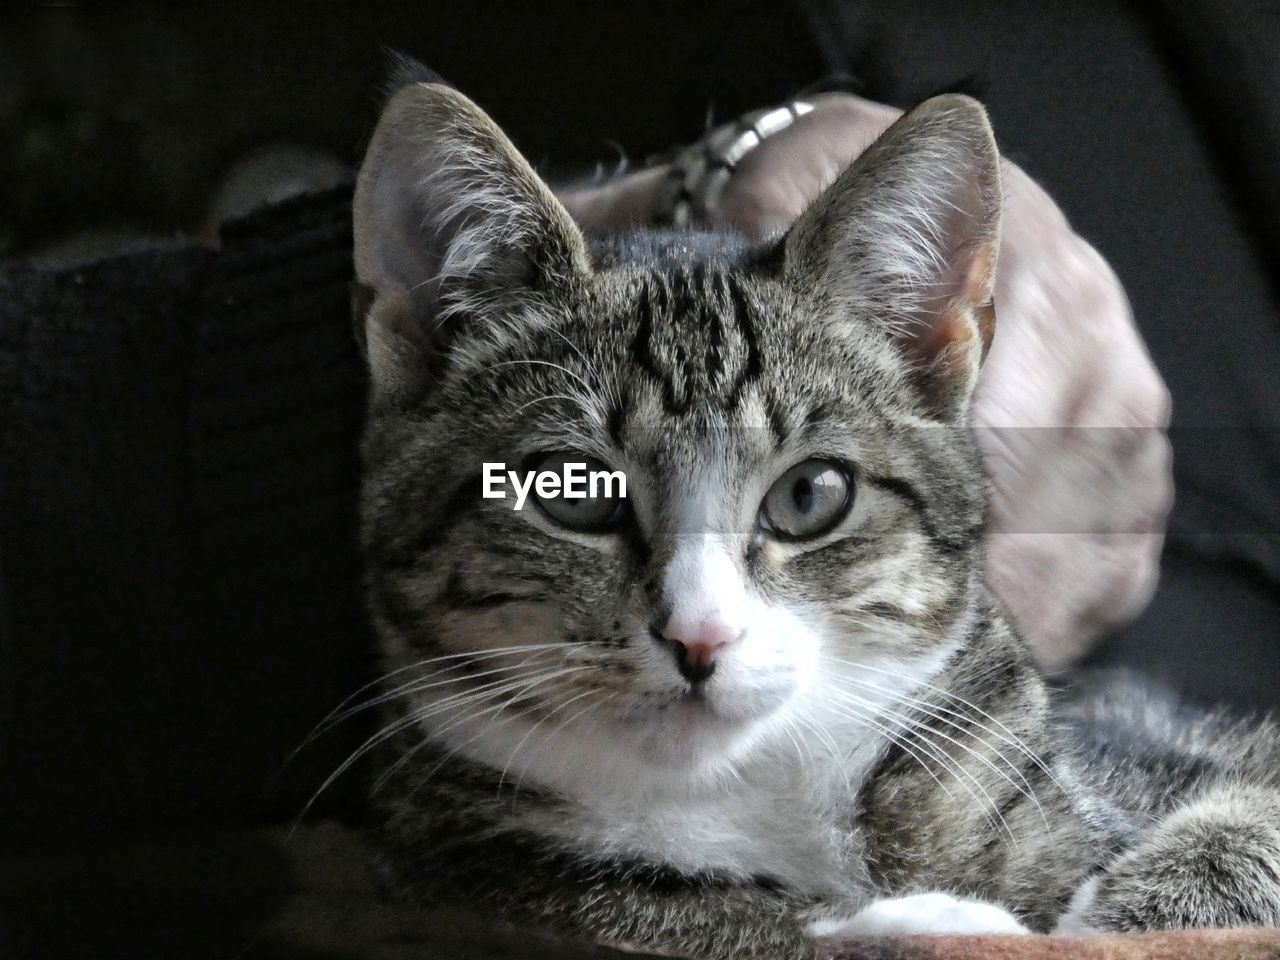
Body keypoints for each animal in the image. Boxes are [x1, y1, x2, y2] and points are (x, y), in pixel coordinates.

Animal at [350, 77, 1280, 960]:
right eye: (573, 490)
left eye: (808, 496)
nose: (699, 636)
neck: (756, 794)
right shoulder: (462, 866)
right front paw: (909, 922)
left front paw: (1130, 904)